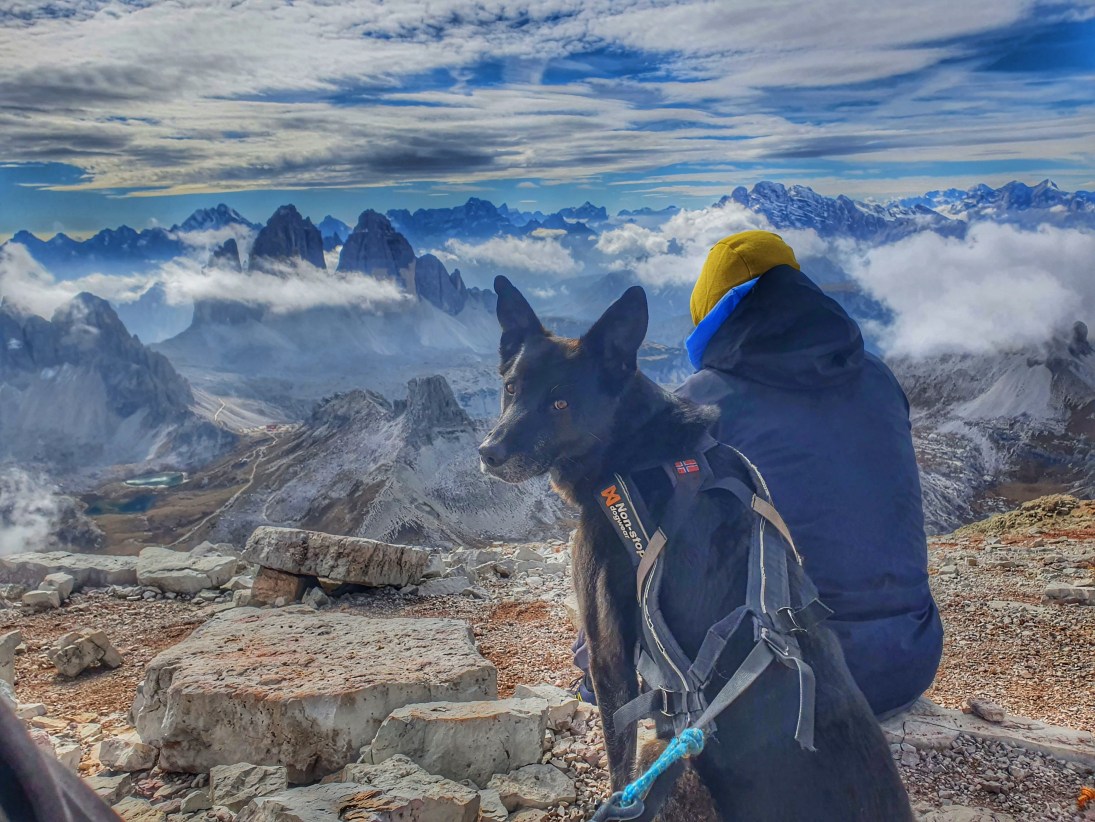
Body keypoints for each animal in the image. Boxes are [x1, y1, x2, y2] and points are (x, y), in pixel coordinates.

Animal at [479, 278, 915, 822]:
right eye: (511, 388)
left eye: (560, 404)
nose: (488, 452)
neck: (636, 449)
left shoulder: (608, 651)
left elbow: (618, 755)